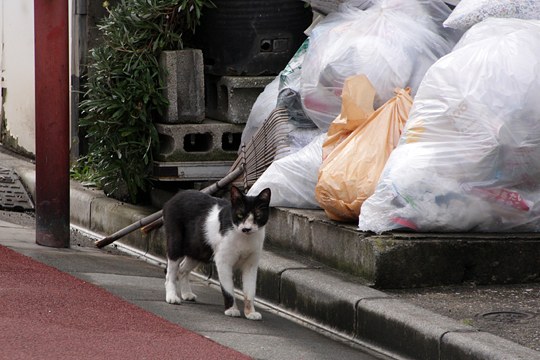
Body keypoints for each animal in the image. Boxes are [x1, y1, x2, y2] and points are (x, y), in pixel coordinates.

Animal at [160, 186, 270, 320]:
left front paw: (250, 312)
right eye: (240, 214)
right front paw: (231, 310)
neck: (244, 238)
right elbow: (228, 289)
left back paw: (187, 294)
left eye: (258, 215)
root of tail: (177, 195)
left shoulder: (251, 265)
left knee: (182, 270)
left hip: (198, 249)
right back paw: (172, 296)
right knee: (170, 272)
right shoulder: (223, 262)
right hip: (176, 243)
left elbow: (250, 291)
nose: (246, 229)